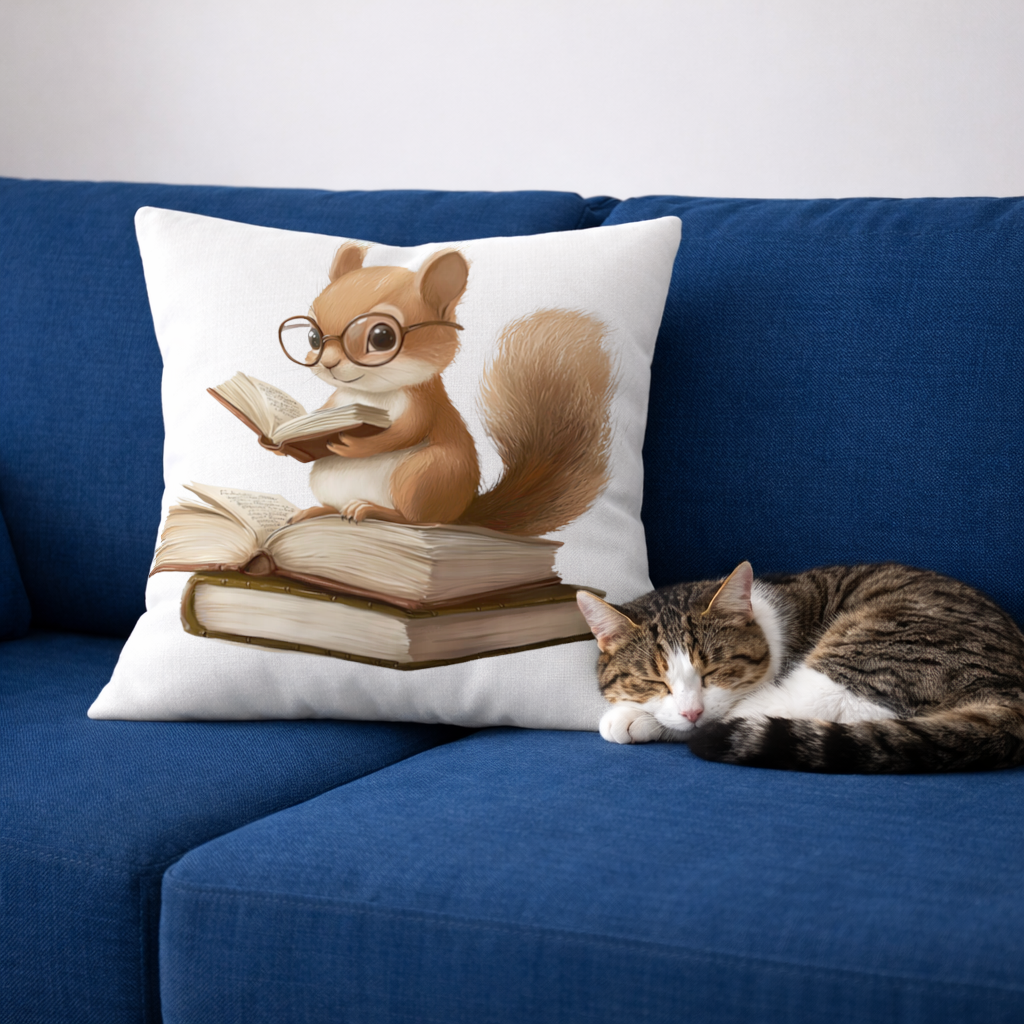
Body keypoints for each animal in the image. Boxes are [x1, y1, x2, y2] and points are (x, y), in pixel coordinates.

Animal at [286, 241, 614, 536]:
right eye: (313, 336)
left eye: (382, 337)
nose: (328, 363)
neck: (368, 393)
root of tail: (461, 513)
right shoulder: (338, 398)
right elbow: (324, 411)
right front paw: (285, 436)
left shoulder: (423, 405)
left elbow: (407, 431)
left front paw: (355, 445)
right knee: (341, 507)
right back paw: (316, 510)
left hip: (425, 474)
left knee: (418, 519)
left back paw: (370, 509)